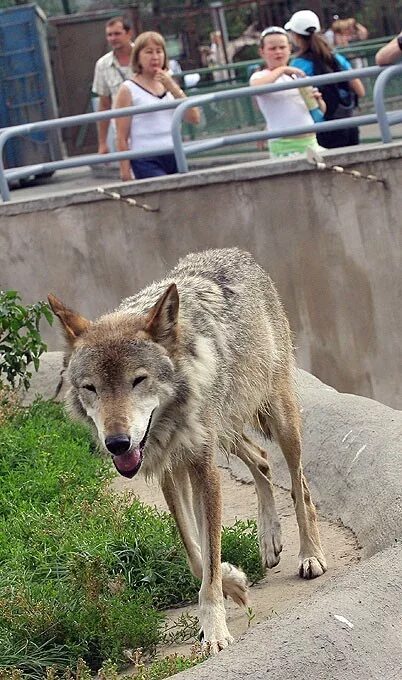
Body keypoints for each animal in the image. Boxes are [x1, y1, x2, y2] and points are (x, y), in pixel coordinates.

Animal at [49, 247, 326, 652]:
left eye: (138, 380)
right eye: (91, 388)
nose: (117, 443)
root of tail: (235, 252)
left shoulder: (204, 469)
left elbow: (208, 552)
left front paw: (215, 630)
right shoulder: (170, 471)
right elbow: (196, 553)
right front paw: (233, 582)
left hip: (279, 421)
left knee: (299, 484)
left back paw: (310, 555)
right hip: (227, 430)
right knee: (261, 462)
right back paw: (269, 540)